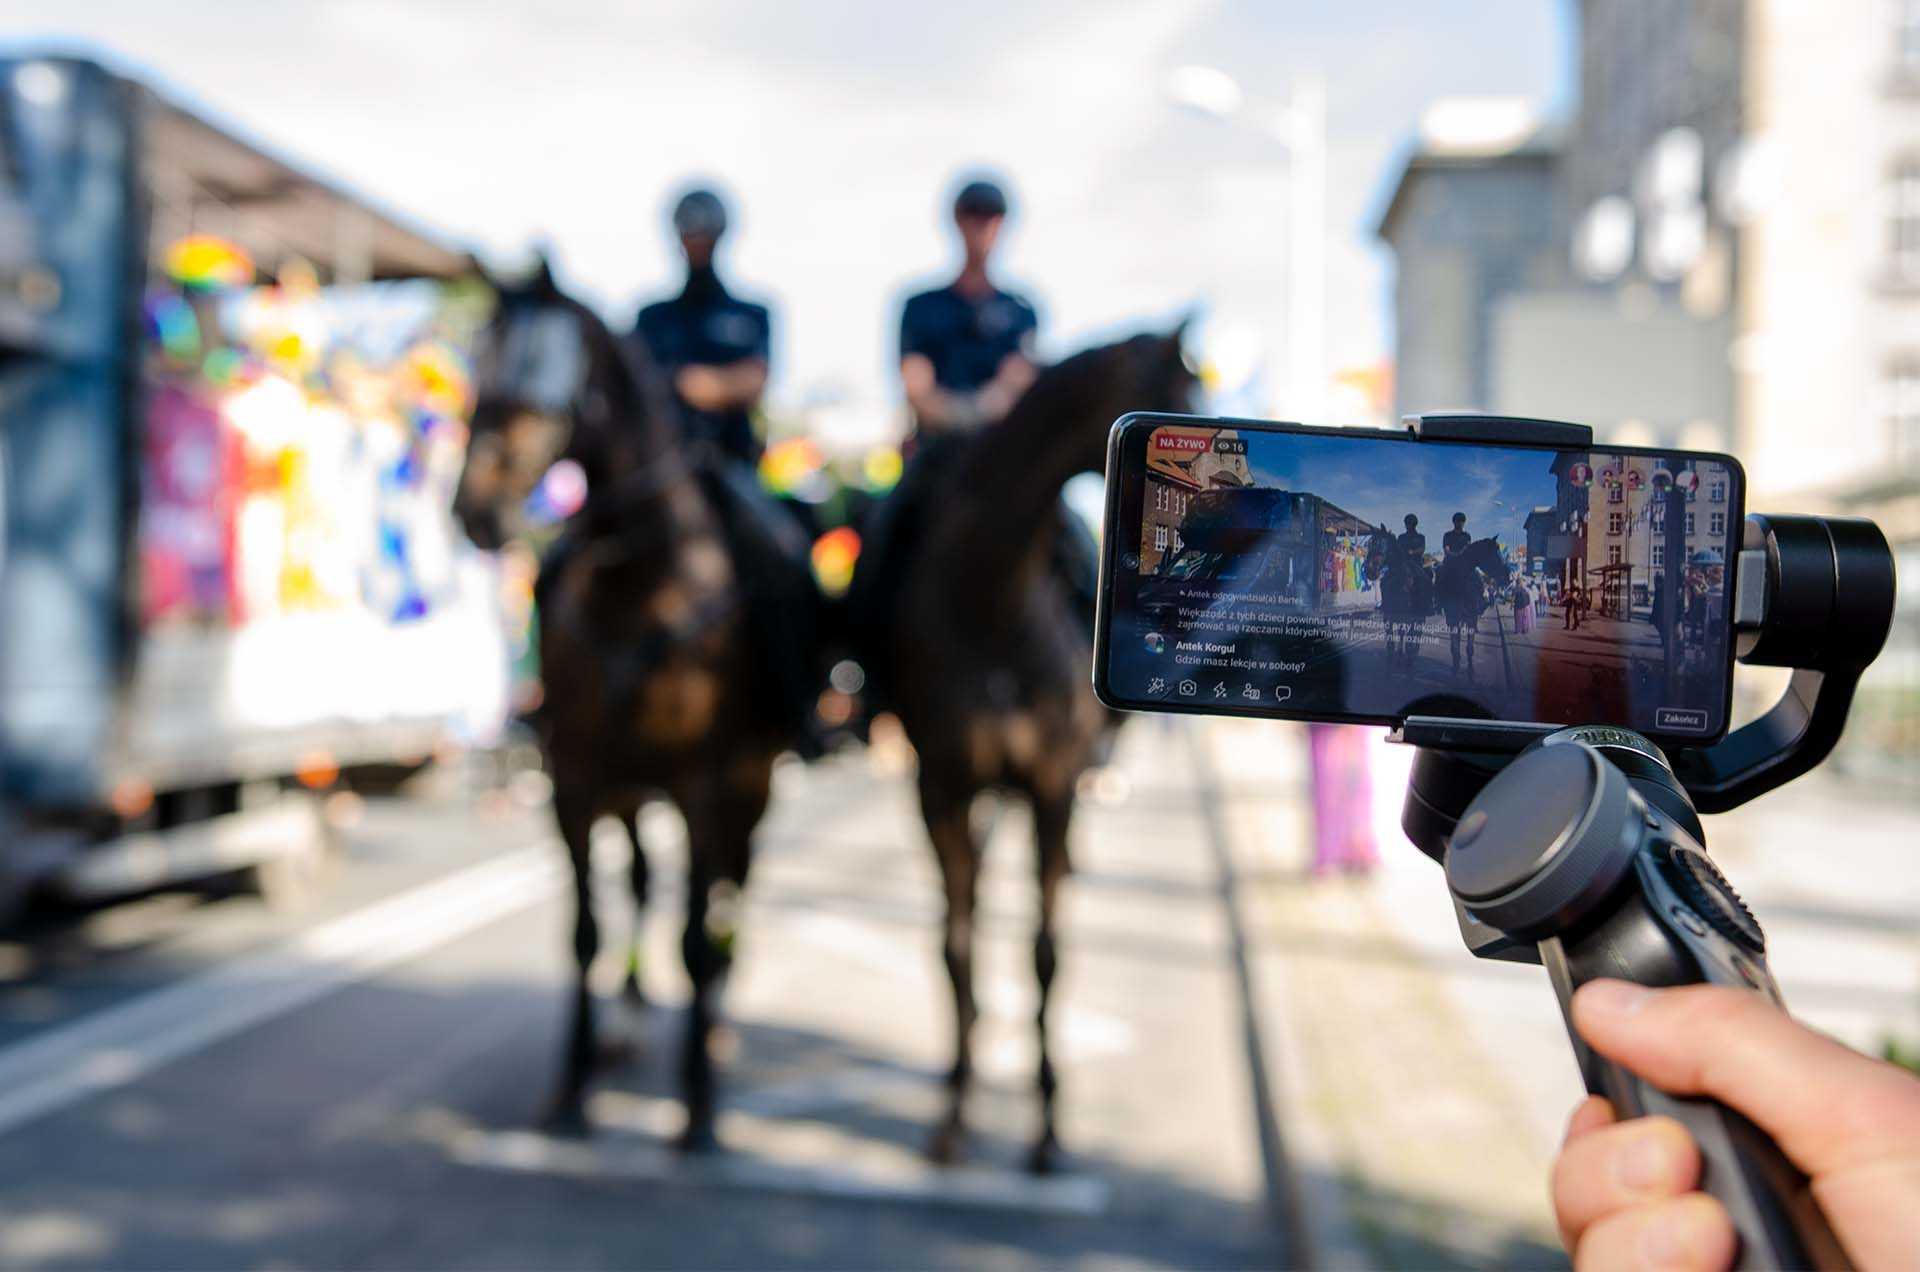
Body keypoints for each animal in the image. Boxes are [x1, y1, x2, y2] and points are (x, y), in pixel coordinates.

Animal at [451, 263, 817, 1152]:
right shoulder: (575, 780)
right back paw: (629, 1021)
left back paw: (714, 1025)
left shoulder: (704, 784)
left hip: (746, 786)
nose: (474, 511)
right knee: (649, 884)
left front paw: (697, 1106)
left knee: (728, 899)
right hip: (628, 788)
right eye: (480, 363)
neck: (642, 583)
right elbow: (584, 932)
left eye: (544, 375)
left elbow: (693, 936)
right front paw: (573, 1088)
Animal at [848, 326, 1190, 1175]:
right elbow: (956, 945)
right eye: (1177, 394)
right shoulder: (940, 788)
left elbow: (1044, 952)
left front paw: (1046, 1126)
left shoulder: (1050, 787)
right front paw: (954, 1112)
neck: (990, 601)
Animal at [1436, 534, 1505, 676]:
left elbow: (1469, 647)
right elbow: (1455, 645)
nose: (1508, 575)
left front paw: (1470, 669)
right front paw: (1456, 666)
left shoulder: (1472, 619)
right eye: (1495, 554)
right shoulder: (1453, 619)